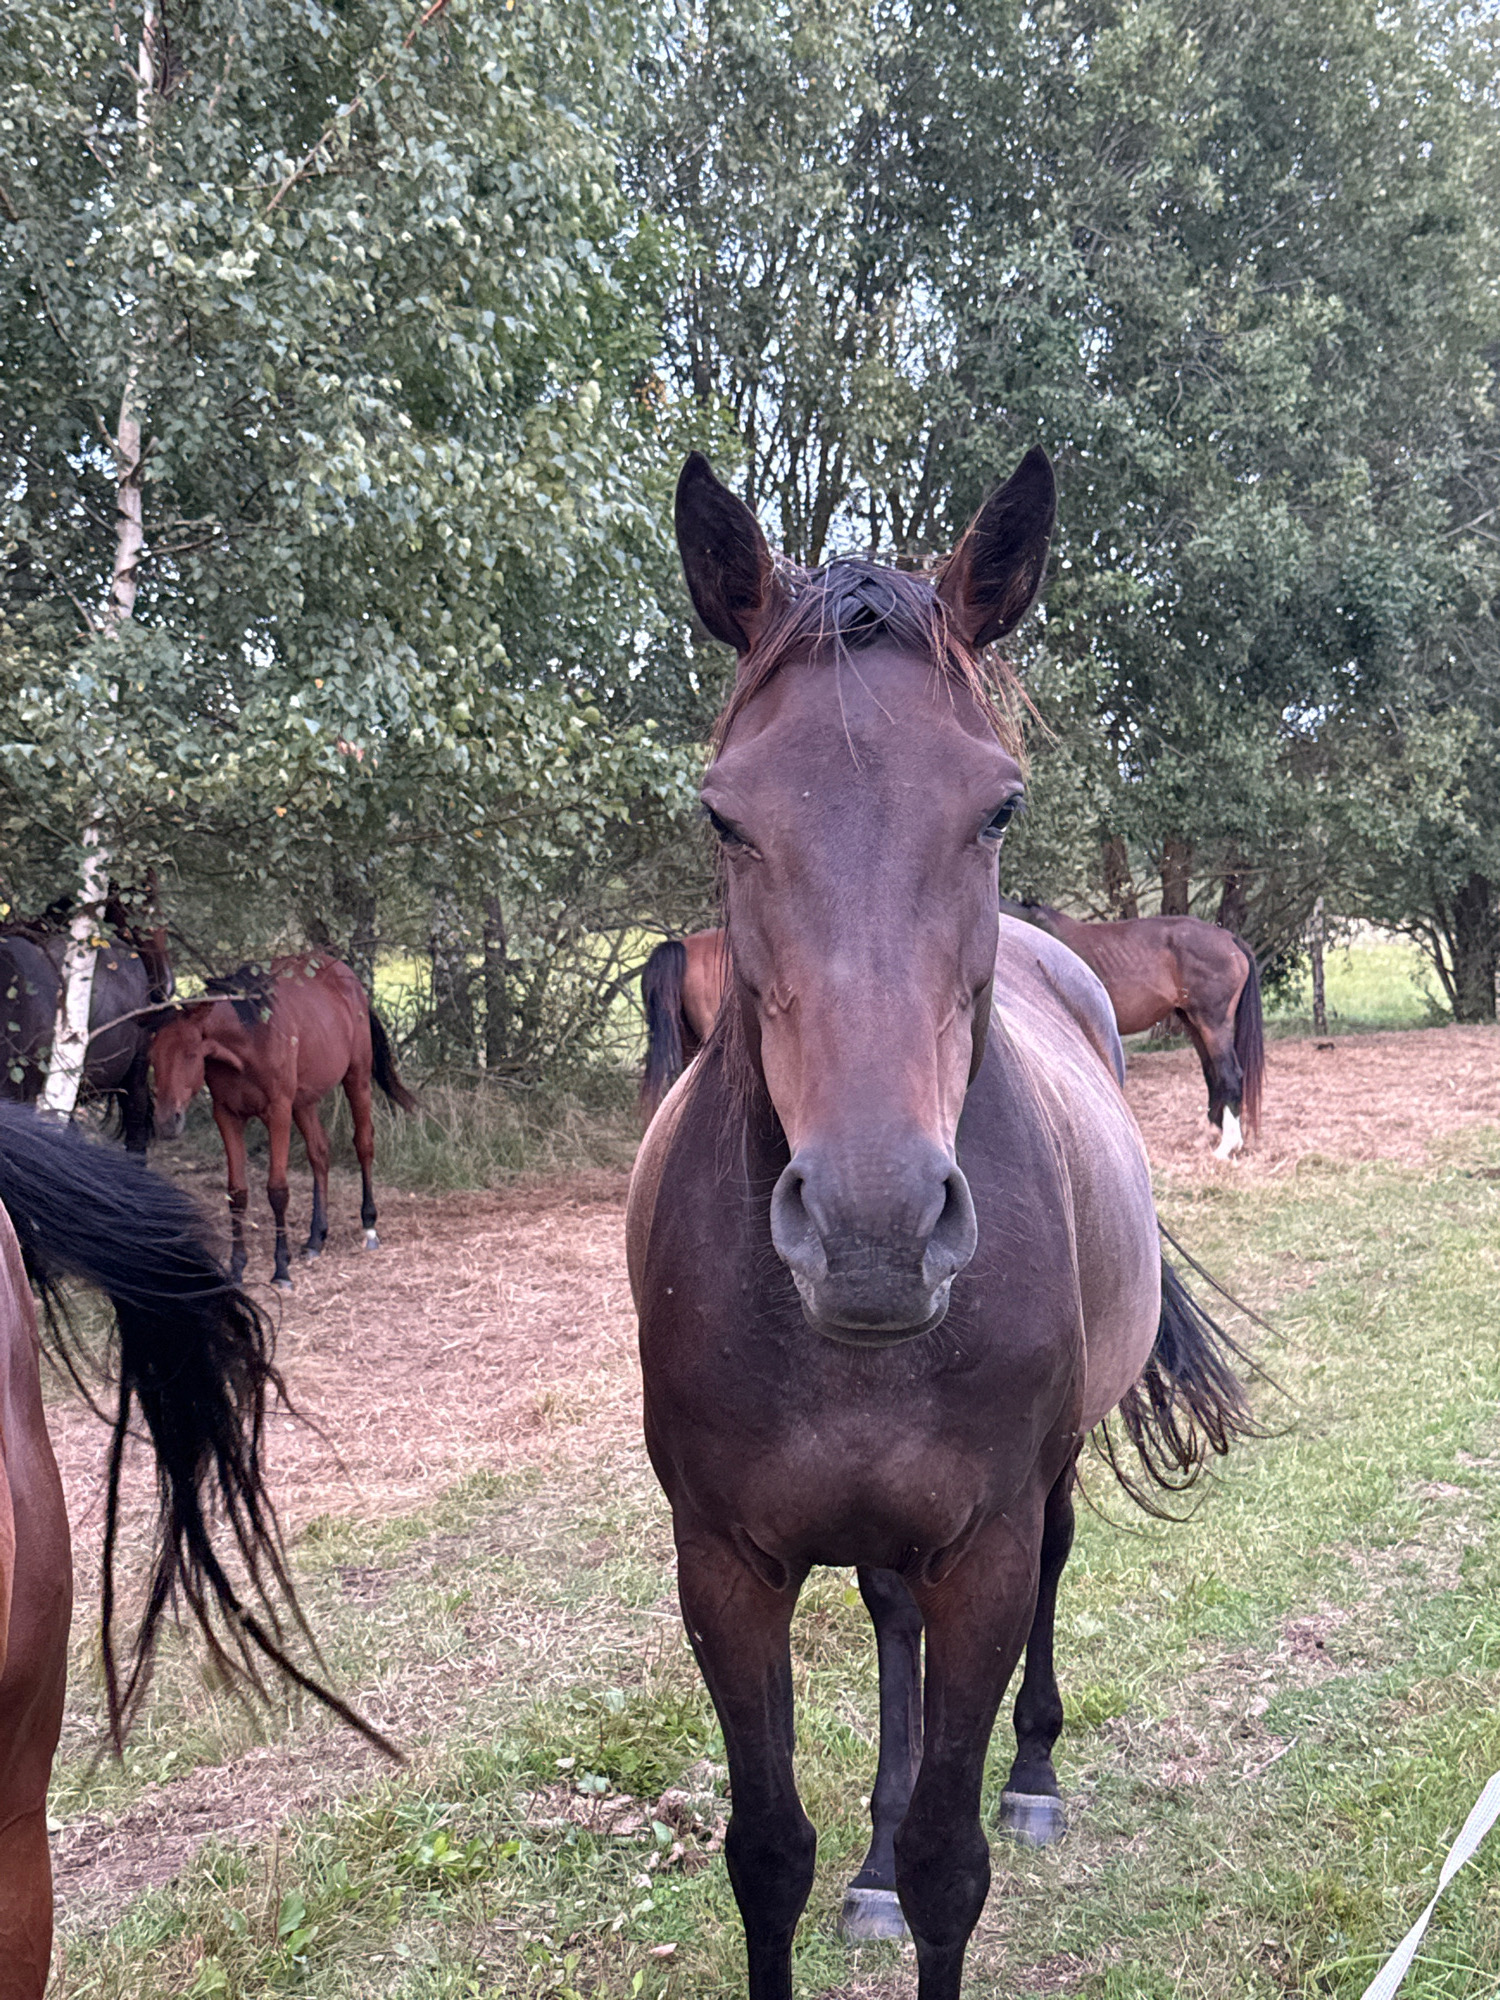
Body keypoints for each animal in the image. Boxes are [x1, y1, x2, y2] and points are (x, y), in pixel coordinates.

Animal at [149, 955, 418, 1291]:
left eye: (189, 1053)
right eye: (152, 1056)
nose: (165, 1121)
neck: (250, 1037)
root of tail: (348, 977)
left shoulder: (277, 1111)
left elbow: (277, 1191)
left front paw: (281, 1270)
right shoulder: (227, 1115)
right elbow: (237, 1192)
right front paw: (237, 1269)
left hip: (356, 1078)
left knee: (364, 1144)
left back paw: (369, 1225)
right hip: (303, 1100)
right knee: (319, 1153)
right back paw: (316, 1238)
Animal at [999, 899, 1264, 1158]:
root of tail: (1230, 940)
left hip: (1213, 1024)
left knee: (1229, 1075)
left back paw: (1226, 1146)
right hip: (1193, 1023)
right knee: (1212, 1074)